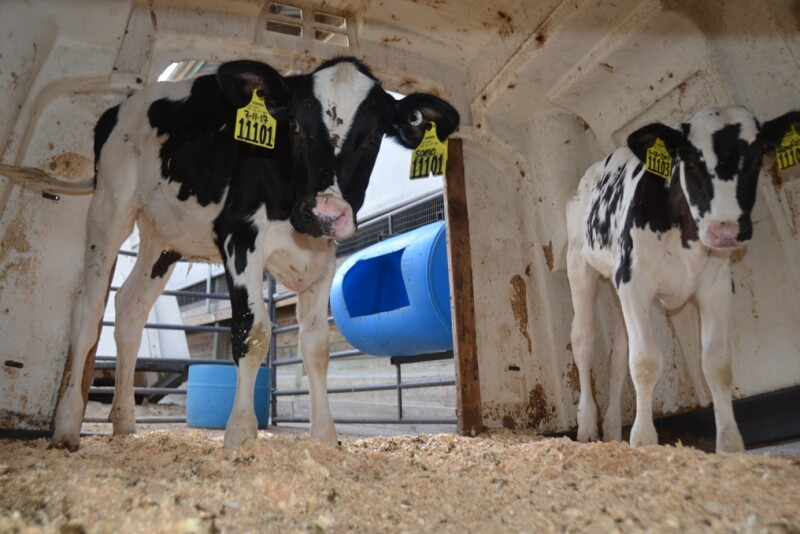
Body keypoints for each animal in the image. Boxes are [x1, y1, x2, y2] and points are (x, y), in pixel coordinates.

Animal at [0, 57, 459, 451]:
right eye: (294, 123)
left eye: (374, 135)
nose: (324, 213)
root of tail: (117, 109)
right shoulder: (239, 236)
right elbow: (252, 332)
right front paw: (240, 433)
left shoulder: (325, 255)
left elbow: (316, 346)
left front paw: (326, 438)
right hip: (110, 208)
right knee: (90, 310)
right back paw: (66, 426)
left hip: (162, 239)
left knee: (129, 308)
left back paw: (124, 422)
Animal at [565, 105, 799, 453]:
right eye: (689, 159)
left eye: (758, 157)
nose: (726, 231)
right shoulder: (635, 281)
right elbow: (645, 360)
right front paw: (644, 440)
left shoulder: (716, 287)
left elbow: (717, 365)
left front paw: (730, 445)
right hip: (578, 262)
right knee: (583, 338)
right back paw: (586, 426)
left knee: (619, 352)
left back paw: (612, 429)